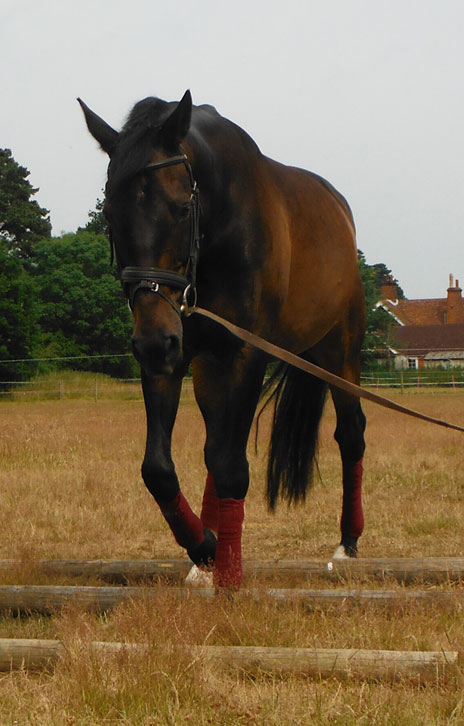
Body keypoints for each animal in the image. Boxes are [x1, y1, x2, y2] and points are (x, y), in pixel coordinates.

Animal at [79, 91, 366, 592]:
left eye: (180, 207)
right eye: (110, 215)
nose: (153, 339)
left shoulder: (244, 352)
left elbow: (231, 466)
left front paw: (229, 573)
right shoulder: (173, 358)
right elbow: (160, 469)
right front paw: (205, 548)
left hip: (338, 353)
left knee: (350, 434)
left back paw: (347, 543)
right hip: (206, 365)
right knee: (216, 444)